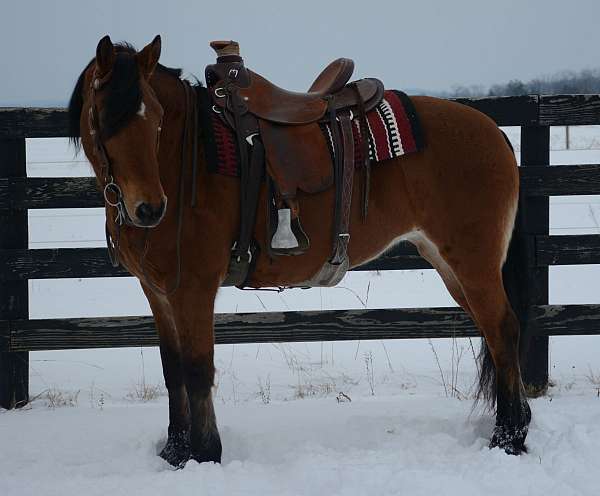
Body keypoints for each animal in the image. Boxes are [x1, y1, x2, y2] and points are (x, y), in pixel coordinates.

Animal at [68, 35, 532, 464]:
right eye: (103, 116)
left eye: (158, 119)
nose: (149, 208)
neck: (190, 158)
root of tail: (495, 132)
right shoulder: (158, 292)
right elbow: (172, 369)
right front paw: (175, 452)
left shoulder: (193, 289)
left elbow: (197, 369)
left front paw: (205, 453)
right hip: (450, 265)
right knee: (492, 333)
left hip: (473, 264)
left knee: (503, 330)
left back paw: (509, 438)